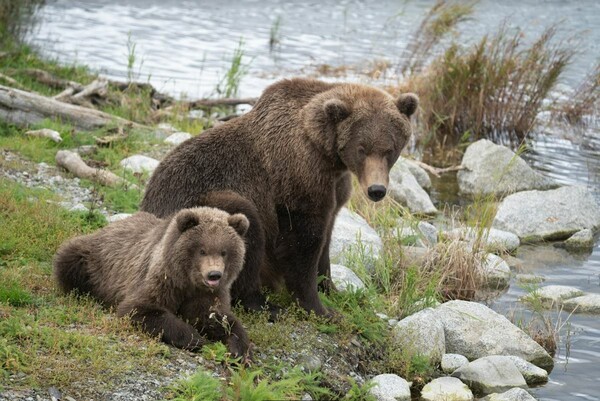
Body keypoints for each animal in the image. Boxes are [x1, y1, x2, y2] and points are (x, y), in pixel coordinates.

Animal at [143, 77, 420, 316]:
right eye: (361, 149)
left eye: (390, 149)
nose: (376, 189)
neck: (327, 153)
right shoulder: (298, 174)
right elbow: (303, 241)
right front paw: (319, 307)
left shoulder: (335, 186)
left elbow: (327, 237)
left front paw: (332, 288)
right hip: (198, 206)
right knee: (245, 226)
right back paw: (264, 305)